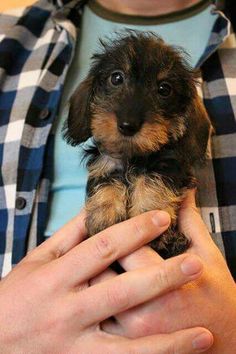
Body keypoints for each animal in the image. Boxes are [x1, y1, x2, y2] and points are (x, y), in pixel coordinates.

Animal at [63, 33, 211, 258]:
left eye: (164, 89)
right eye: (116, 78)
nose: (127, 125)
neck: (132, 157)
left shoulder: (167, 165)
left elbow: (152, 181)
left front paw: (152, 217)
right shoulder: (106, 163)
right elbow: (106, 180)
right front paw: (104, 215)